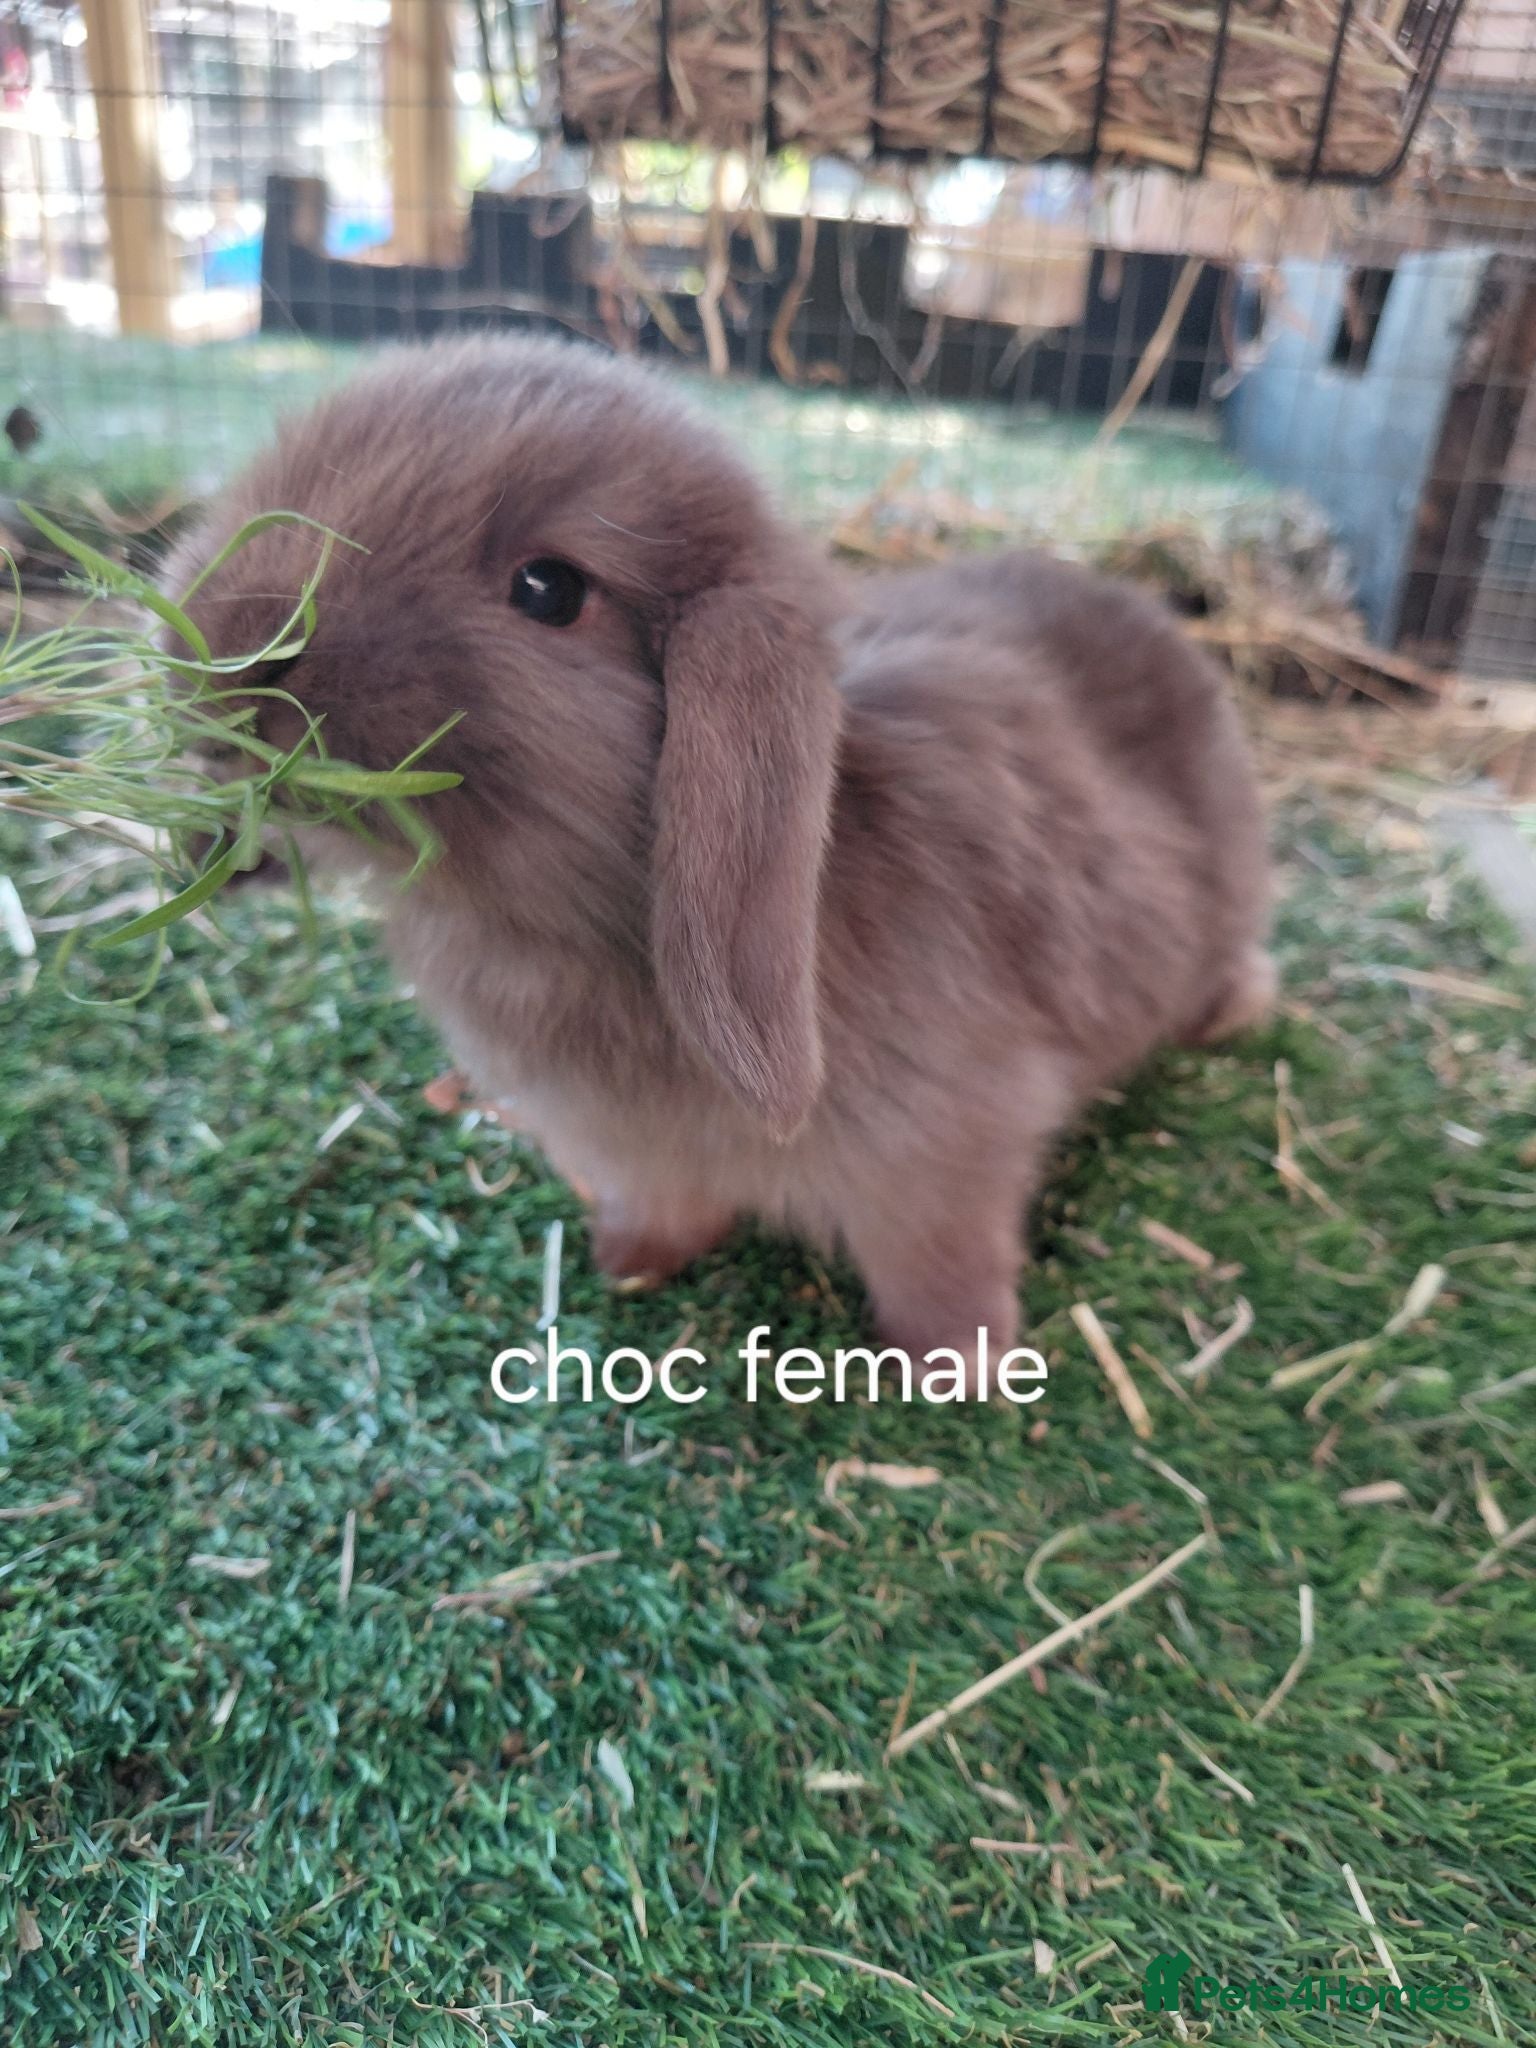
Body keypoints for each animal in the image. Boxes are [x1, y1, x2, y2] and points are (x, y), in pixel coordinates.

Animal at [166, 335, 1273, 1392]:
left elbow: (942, 1266)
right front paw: (629, 1261)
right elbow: (668, 1208)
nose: (220, 647)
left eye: (548, 589)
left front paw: (954, 1369)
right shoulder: (635, 1154)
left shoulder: (947, 1155)